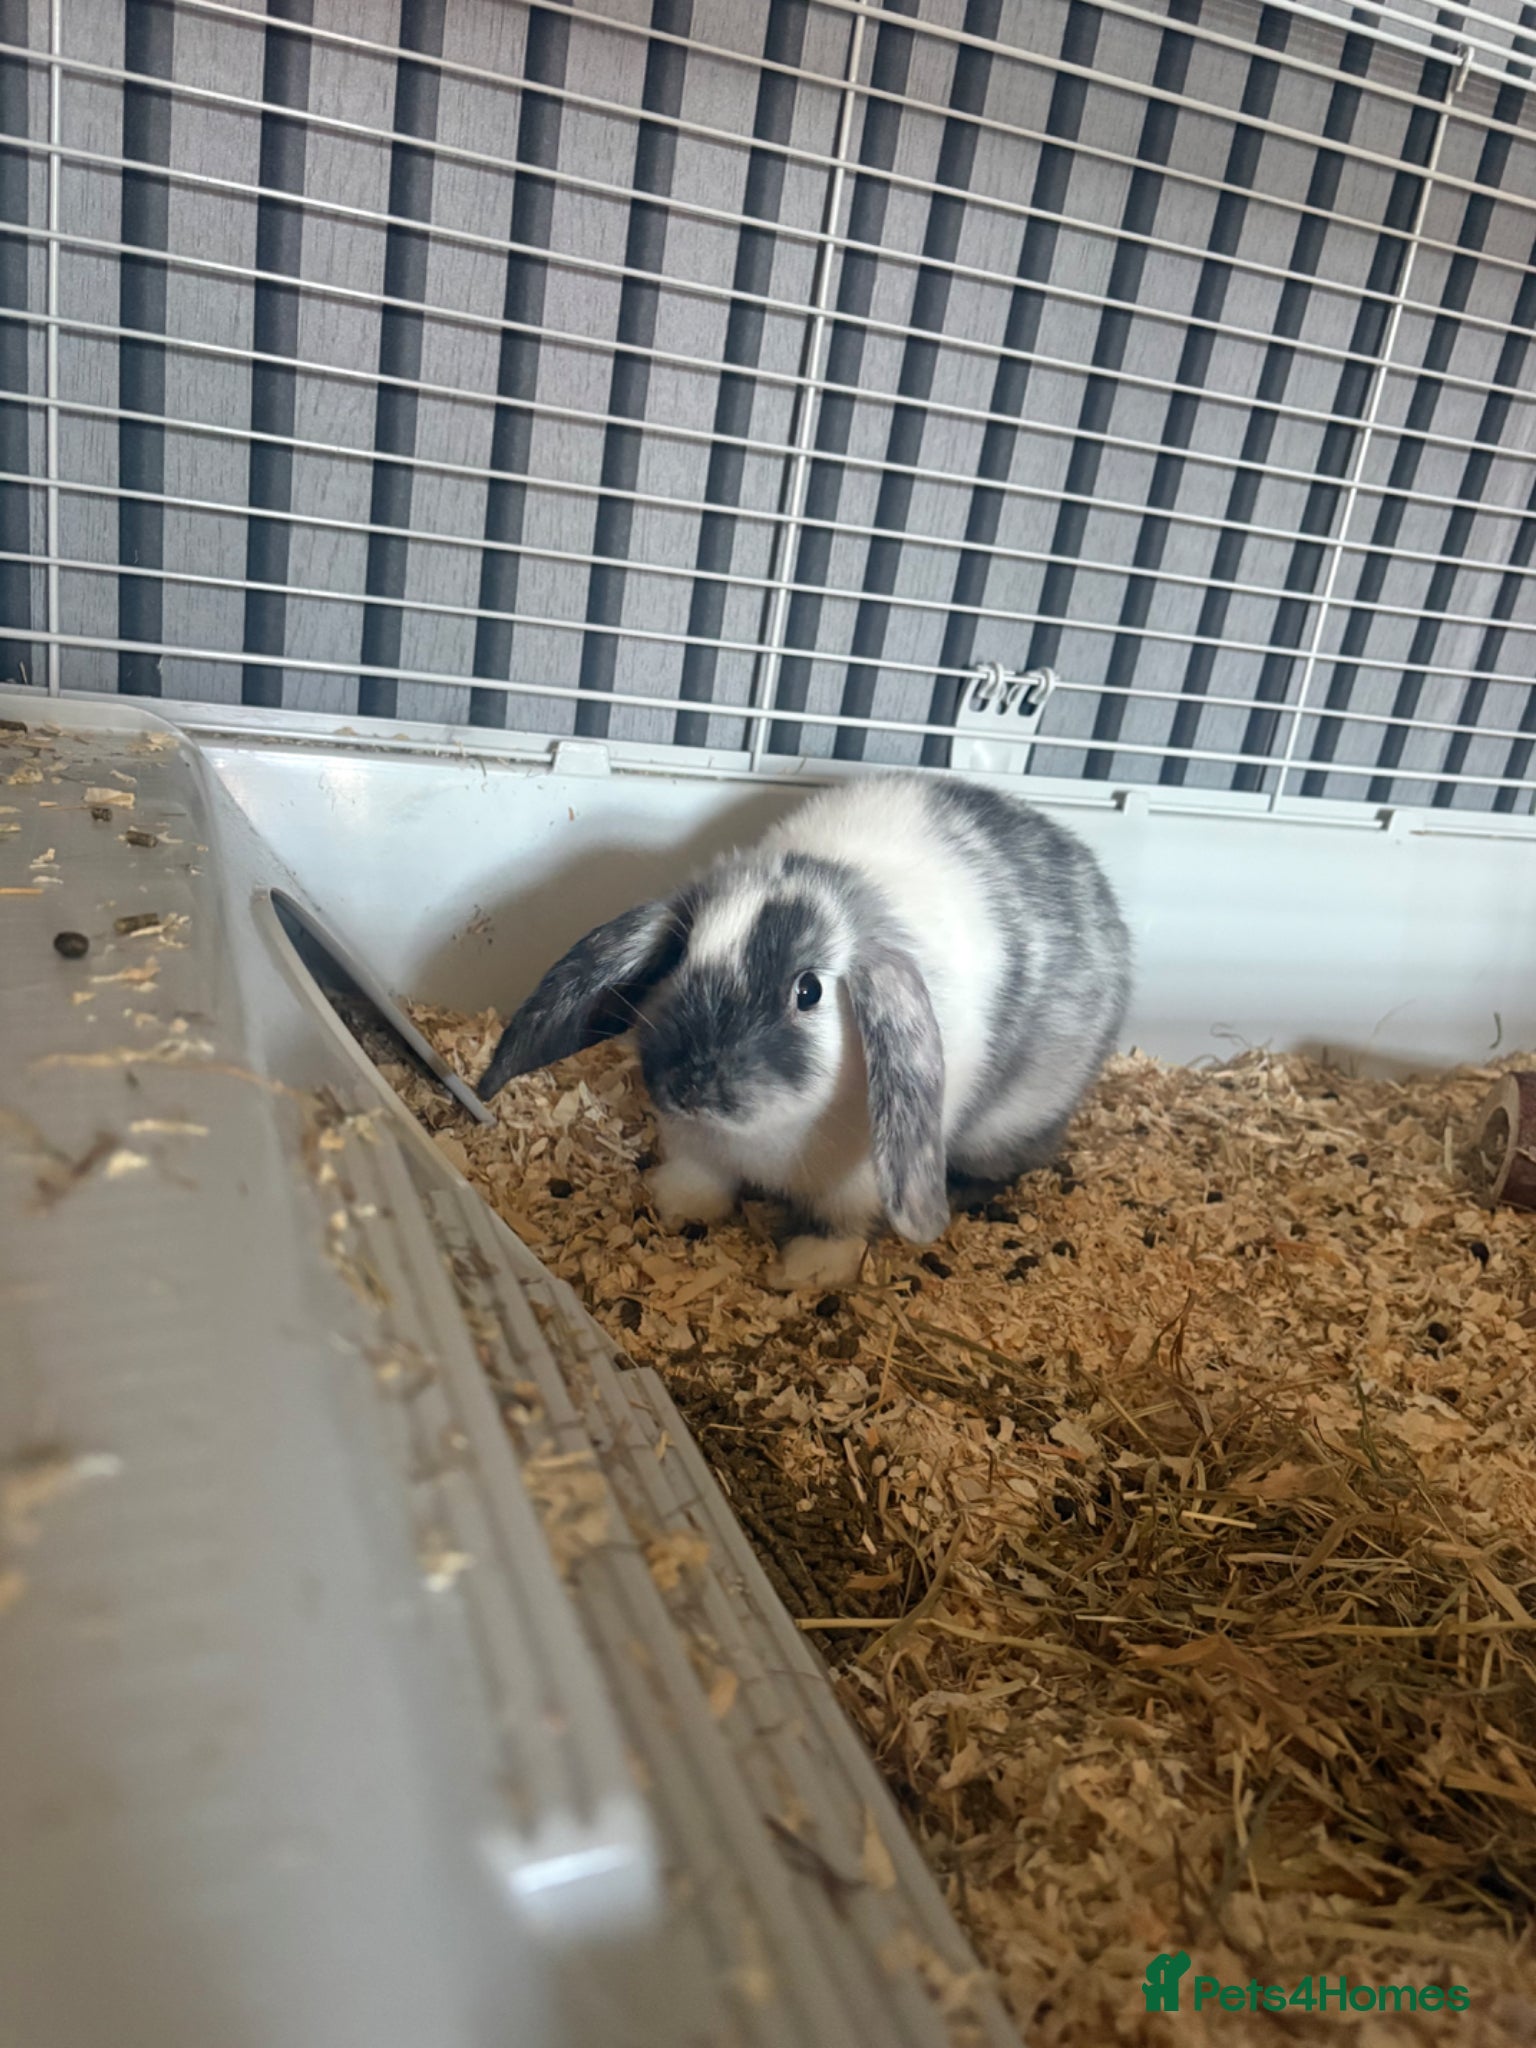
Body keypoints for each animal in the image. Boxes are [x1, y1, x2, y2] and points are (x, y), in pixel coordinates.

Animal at [475, 772, 1132, 1292]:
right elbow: (699, 1180)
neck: (765, 1133)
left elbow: (837, 1226)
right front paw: (673, 1205)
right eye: (681, 956)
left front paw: (807, 1272)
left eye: (809, 990)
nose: (688, 1086)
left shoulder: (859, 1183)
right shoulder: (693, 1143)